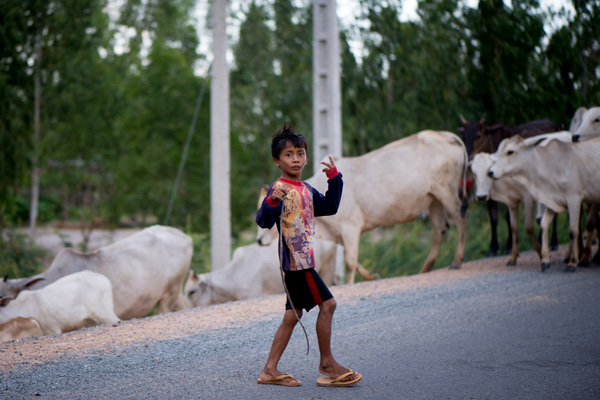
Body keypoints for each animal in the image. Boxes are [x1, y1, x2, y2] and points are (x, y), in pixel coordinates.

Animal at [255, 130, 466, 282]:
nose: (259, 240)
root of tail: (446, 135)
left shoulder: (350, 227)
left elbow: (350, 262)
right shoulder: (342, 234)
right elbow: (354, 261)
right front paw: (373, 276)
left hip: (447, 192)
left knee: (460, 218)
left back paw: (456, 261)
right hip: (434, 200)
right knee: (440, 230)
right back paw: (424, 270)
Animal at [488, 135, 600, 272]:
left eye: (510, 151)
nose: (490, 172)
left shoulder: (574, 199)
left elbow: (573, 231)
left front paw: (573, 263)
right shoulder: (553, 202)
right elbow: (543, 225)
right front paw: (545, 260)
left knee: (590, 224)